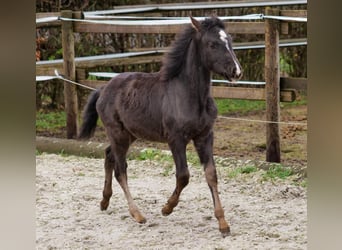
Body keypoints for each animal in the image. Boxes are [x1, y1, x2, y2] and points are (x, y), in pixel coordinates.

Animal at [79, 15, 242, 236]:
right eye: (212, 44)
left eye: (230, 41)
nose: (236, 71)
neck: (188, 95)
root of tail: (103, 88)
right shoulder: (176, 139)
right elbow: (183, 176)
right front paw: (167, 208)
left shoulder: (205, 136)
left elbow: (211, 174)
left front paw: (223, 223)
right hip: (117, 134)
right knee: (120, 170)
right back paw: (137, 214)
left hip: (129, 134)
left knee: (108, 156)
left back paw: (105, 201)